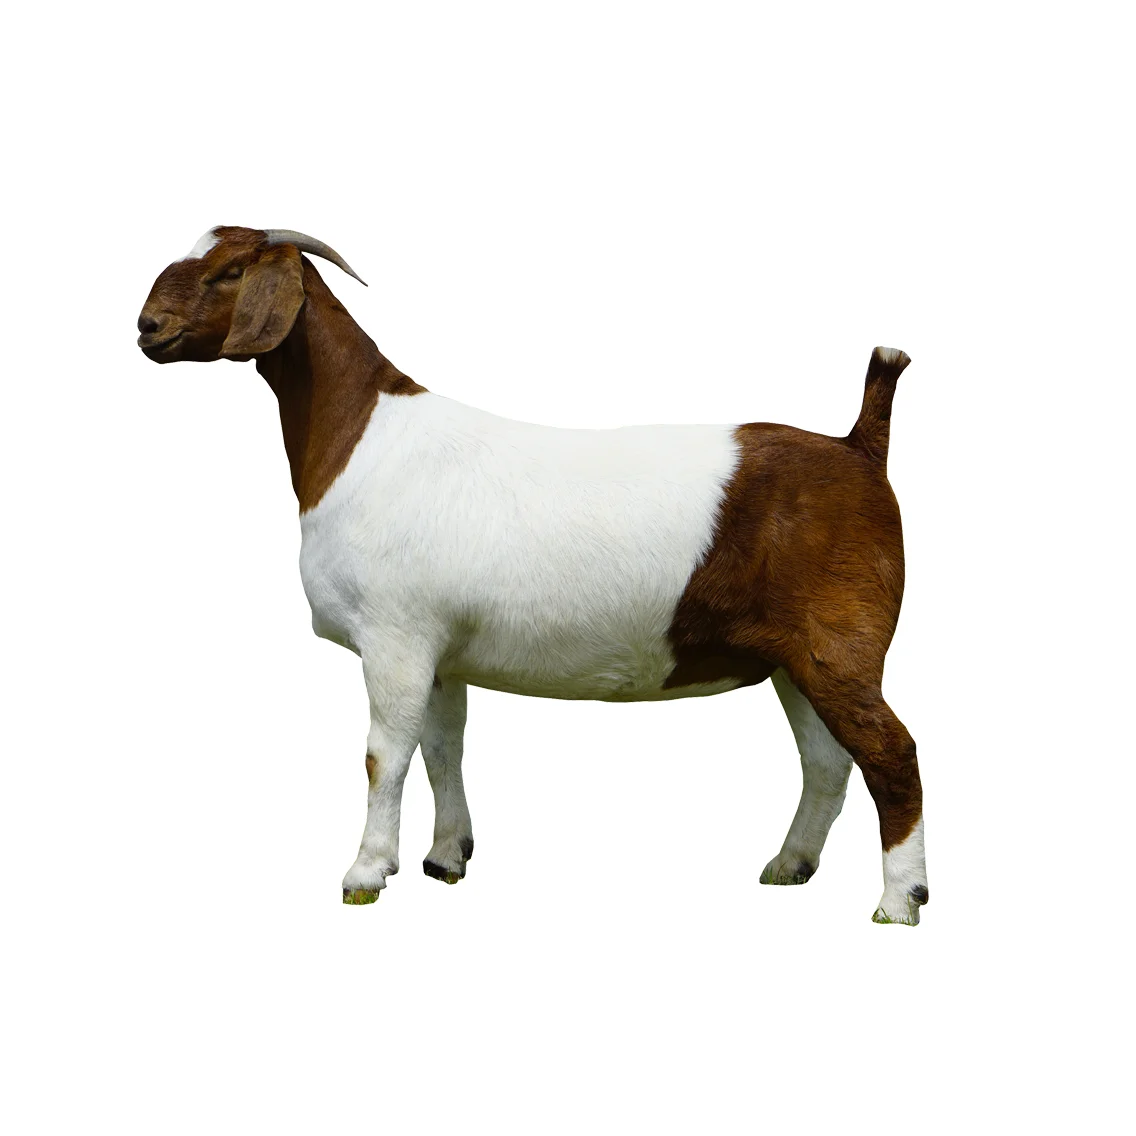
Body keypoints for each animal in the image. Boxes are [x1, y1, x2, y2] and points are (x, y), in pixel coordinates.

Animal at [137, 225, 928, 924]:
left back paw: (898, 903)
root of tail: (858, 447)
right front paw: (445, 857)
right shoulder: (439, 648)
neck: (359, 439)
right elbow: (442, 746)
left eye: (228, 272)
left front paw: (365, 873)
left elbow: (383, 755)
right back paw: (789, 865)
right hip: (796, 658)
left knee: (891, 753)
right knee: (827, 762)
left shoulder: (395, 636)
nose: (148, 328)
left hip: (841, 644)